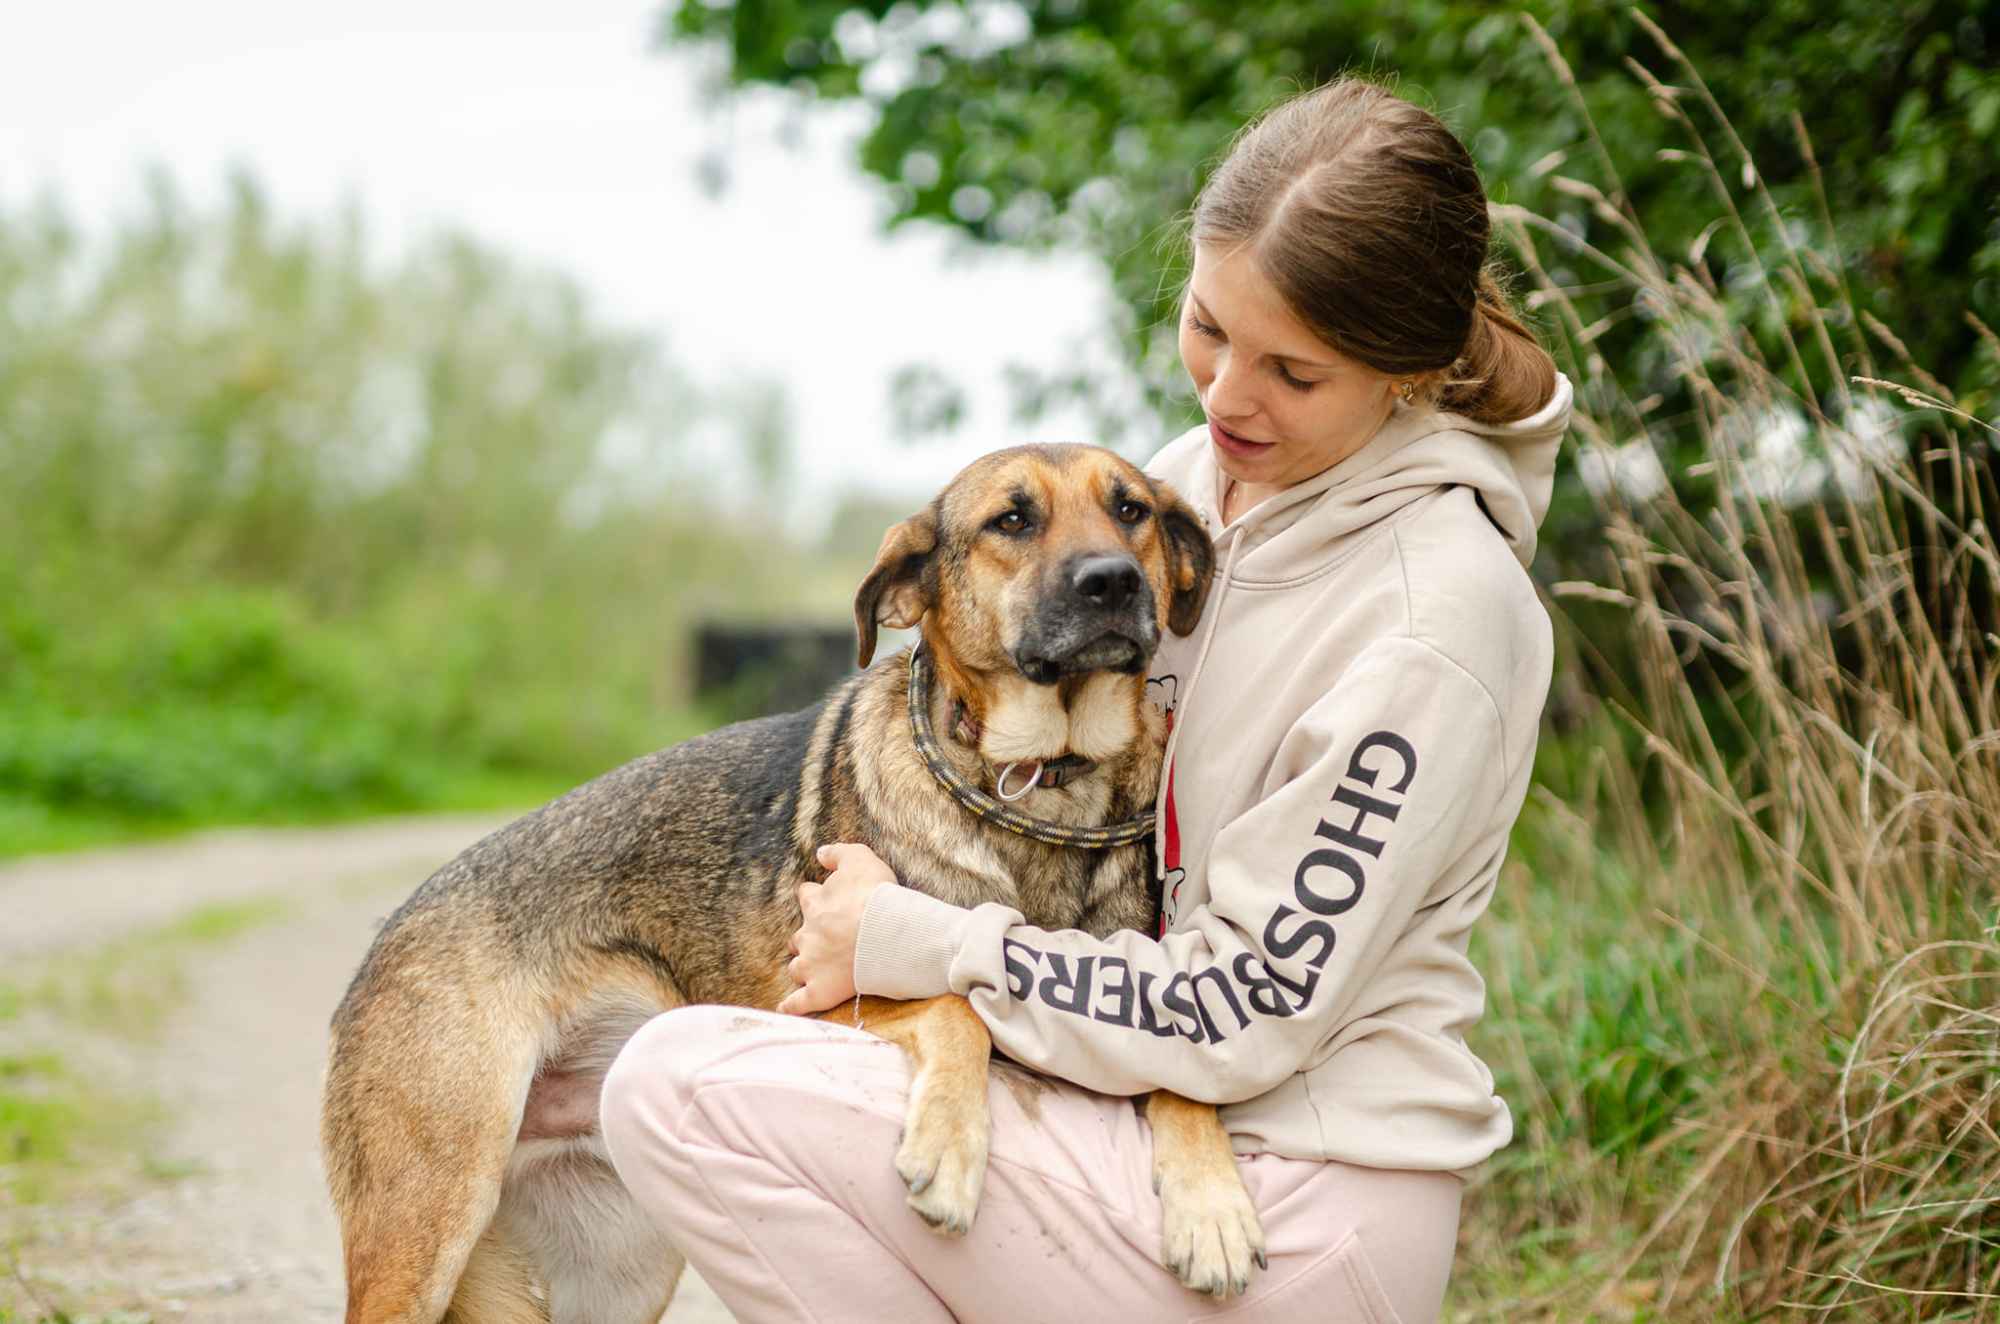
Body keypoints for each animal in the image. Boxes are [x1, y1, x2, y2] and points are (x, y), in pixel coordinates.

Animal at [324, 446, 1264, 1324]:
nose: (1113, 580)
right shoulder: (816, 999)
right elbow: (956, 1005)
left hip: (620, 1269)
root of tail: (384, 940)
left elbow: (1181, 1071)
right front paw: (950, 1151)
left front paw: (1212, 1208)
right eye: (1012, 520)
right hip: (429, 1229)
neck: (1043, 783)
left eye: (1131, 510)